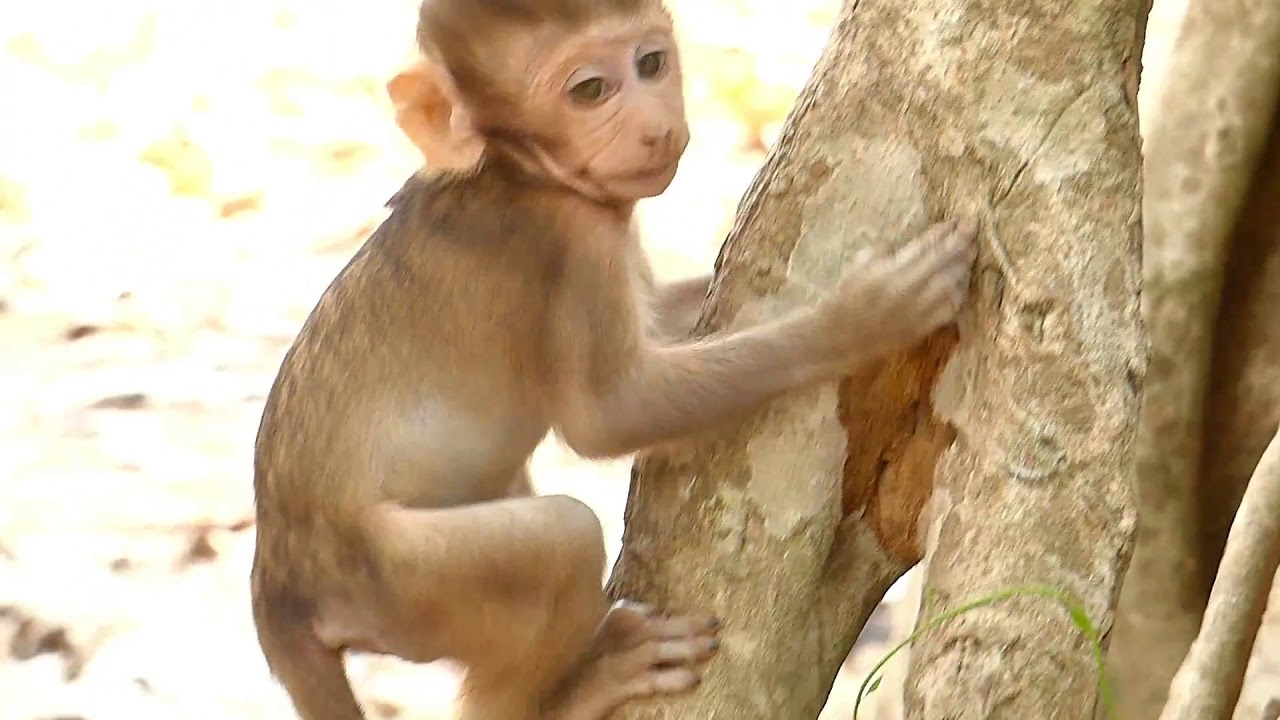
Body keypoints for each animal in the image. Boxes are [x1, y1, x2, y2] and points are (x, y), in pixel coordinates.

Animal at [248, 0, 979, 718]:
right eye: (590, 91)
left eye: (650, 63)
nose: (655, 127)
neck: (514, 168)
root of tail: (277, 585)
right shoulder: (573, 243)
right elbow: (611, 415)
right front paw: (863, 318)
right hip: (391, 583)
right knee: (561, 540)